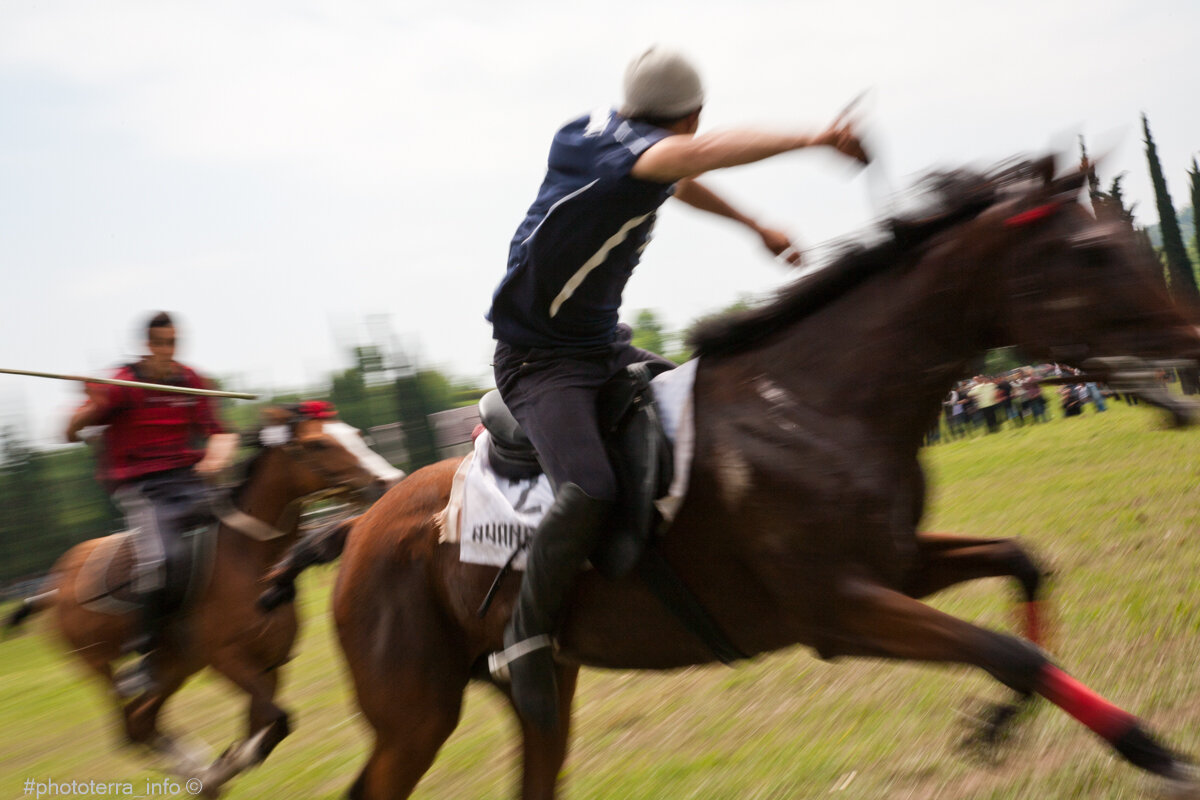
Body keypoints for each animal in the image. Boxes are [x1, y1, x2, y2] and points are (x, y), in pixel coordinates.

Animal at [8, 412, 384, 800]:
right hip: (103, 666)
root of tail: (53, 587)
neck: (248, 555)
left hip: (174, 667)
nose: (384, 480)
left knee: (142, 721)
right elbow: (277, 720)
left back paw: (198, 773)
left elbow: (266, 724)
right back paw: (199, 772)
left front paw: (223, 766)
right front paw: (224, 767)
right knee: (130, 727)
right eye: (318, 444)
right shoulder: (227, 658)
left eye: (356, 434)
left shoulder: (269, 663)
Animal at [328, 159, 1200, 796]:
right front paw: (1150, 749)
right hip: (417, 715)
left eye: (1124, 230)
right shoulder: (837, 610)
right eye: (1091, 253)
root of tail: (357, 527)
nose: (1191, 345)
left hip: (539, 695)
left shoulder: (897, 566)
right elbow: (1011, 653)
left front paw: (999, 725)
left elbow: (1023, 564)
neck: (815, 404)